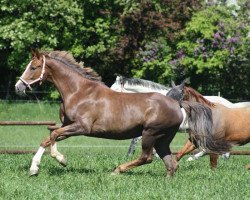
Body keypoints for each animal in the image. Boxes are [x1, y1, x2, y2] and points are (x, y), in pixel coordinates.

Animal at [14, 50, 224, 177]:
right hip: (163, 138)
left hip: (150, 133)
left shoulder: (82, 127)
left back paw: (117, 170)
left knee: (147, 157)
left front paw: (52, 162)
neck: (78, 92)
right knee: (171, 162)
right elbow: (49, 137)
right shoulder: (69, 126)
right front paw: (44, 165)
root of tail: (177, 102)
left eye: (33, 67)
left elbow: (53, 135)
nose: (18, 87)